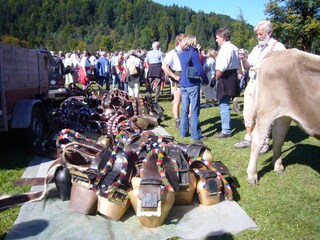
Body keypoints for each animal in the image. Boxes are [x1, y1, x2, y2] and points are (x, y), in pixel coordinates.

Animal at [246, 47, 318, 185]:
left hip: (283, 114)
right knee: (257, 139)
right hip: (266, 111)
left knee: (278, 136)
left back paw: (278, 166)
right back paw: (252, 176)